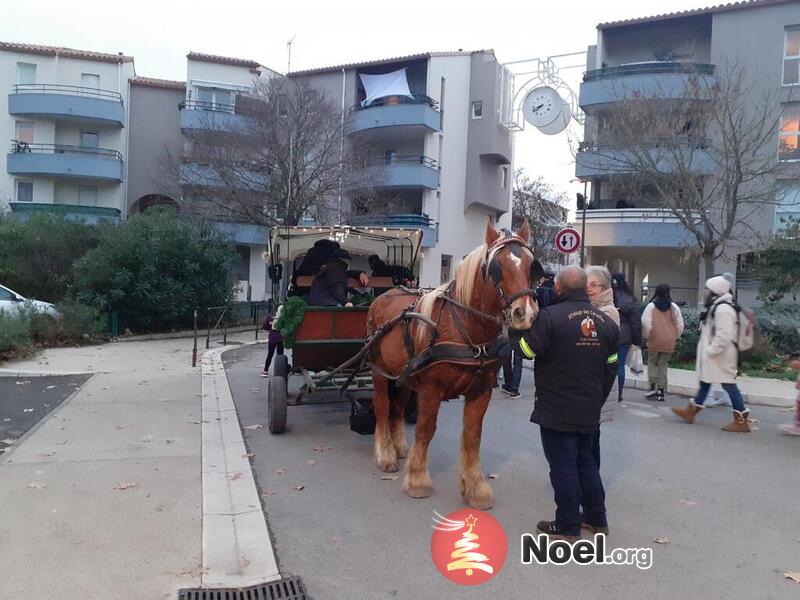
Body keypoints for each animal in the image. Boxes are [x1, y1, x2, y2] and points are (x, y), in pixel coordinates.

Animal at [364, 218, 536, 508]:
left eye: (531, 265)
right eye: (496, 267)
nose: (525, 313)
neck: (467, 330)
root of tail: (382, 296)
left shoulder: (481, 391)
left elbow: (472, 436)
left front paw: (475, 488)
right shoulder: (431, 390)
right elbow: (425, 430)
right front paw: (417, 480)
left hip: (404, 376)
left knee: (397, 407)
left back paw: (398, 447)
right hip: (380, 372)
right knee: (383, 406)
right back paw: (385, 453)